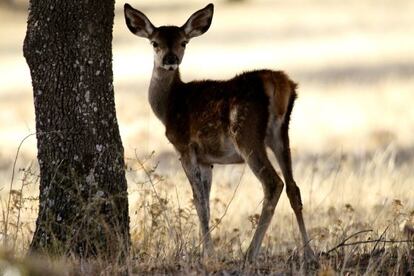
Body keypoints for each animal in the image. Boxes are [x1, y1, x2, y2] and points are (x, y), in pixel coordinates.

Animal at [123, 2, 316, 264]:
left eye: (183, 42)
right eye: (155, 42)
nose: (170, 59)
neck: (170, 106)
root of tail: (278, 83)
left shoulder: (184, 146)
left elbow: (199, 202)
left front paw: (208, 255)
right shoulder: (207, 160)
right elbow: (205, 201)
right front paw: (208, 250)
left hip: (246, 133)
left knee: (273, 183)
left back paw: (250, 254)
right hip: (280, 134)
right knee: (293, 188)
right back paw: (309, 252)